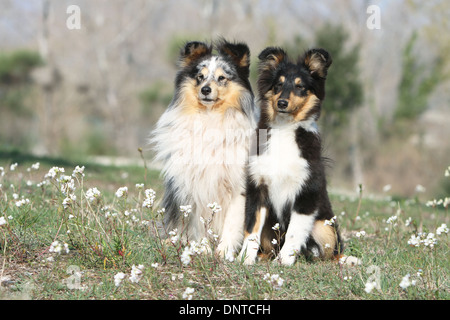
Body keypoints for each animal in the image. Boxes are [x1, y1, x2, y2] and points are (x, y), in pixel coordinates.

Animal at [151, 38, 256, 258]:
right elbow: (198, 223)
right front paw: (203, 248)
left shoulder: (238, 186)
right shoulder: (193, 183)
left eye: (222, 78)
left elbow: (232, 223)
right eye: (200, 77)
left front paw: (224, 253)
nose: (206, 90)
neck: (211, 117)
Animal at [239, 45, 344, 264]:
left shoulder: (306, 192)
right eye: (278, 85)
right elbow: (251, 229)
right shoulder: (258, 187)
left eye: (300, 86)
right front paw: (244, 259)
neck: (284, 129)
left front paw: (284, 262)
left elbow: (295, 232)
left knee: (330, 252)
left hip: (324, 226)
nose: (282, 103)